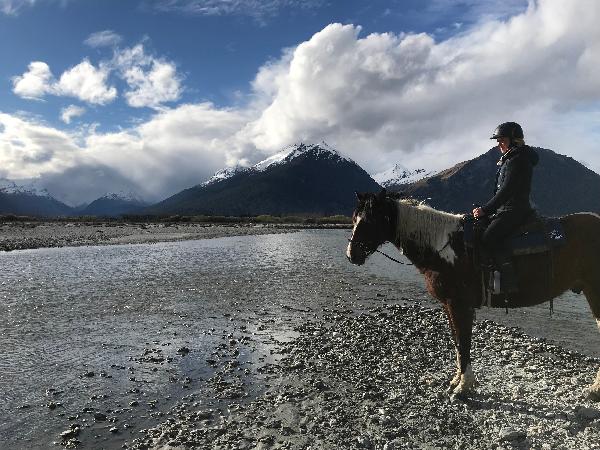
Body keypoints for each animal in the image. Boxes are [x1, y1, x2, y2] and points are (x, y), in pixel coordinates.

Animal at [346, 189, 600, 398]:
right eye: (354, 219)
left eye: (370, 220)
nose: (351, 254)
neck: (444, 248)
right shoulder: (449, 305)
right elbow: (458, 344)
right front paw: (457, 380)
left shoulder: (460, 305)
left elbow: (464, 342)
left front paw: (464, 386)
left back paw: (594, 390)